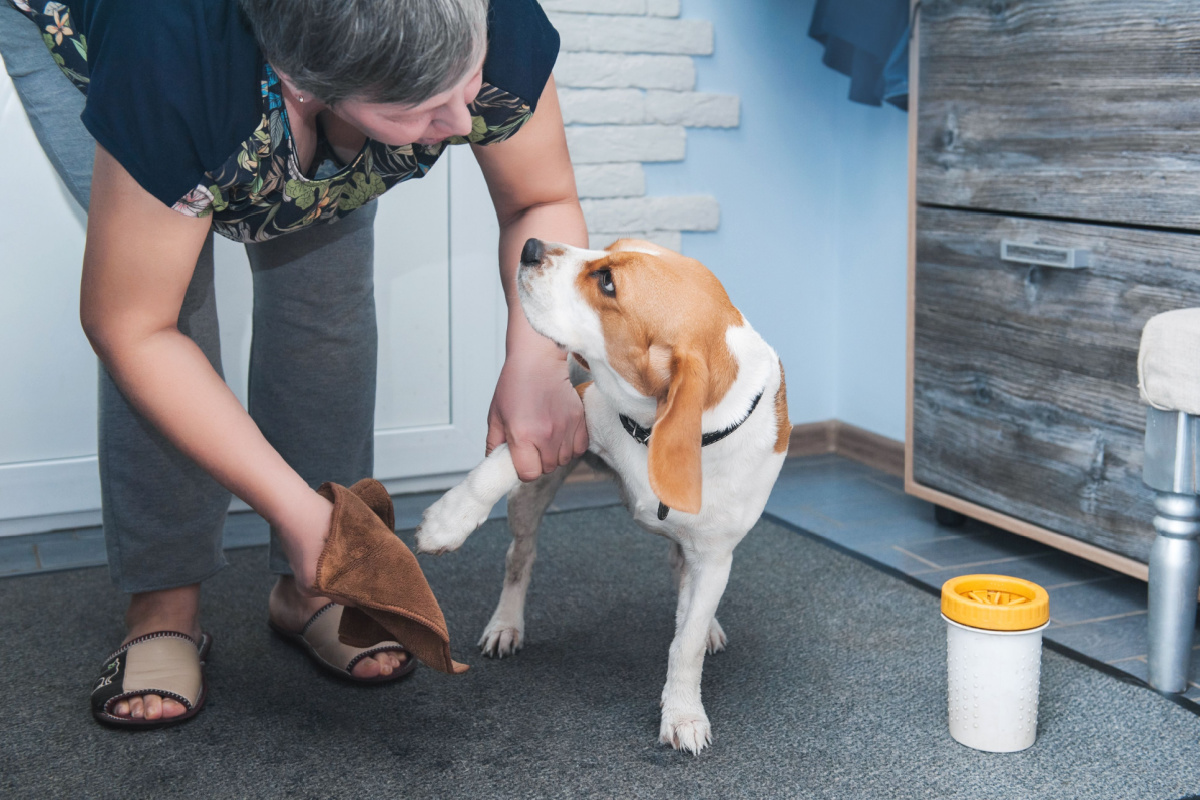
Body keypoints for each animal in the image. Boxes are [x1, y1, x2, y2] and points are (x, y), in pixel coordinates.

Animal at [417, 239, 792, 758]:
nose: (531, 246)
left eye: (608, 282)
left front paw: (683, 712)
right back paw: (506, 624)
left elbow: (687, 641)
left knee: (681, 576)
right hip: (531, 495)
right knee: (519, 557)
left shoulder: (715, 557)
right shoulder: (566, 421)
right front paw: (448, 520)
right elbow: (494, 470)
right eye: (606, 249)